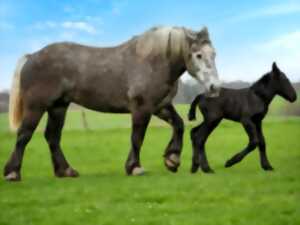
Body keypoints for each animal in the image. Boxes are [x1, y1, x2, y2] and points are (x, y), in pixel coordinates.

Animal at [4, 26, 220, 181]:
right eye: (198, 55)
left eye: (214, 54)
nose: (215, 87)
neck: (153, 61)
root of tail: (32, 56)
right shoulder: (142, 108)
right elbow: (137, 138)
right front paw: (135, 167)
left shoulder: (160, 106)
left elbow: (179, 124)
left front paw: (172, 159)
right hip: (36, 106)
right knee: (24, 134)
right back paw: (12, 173)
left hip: (58, 107)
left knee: (52, 137)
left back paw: (66, 171)